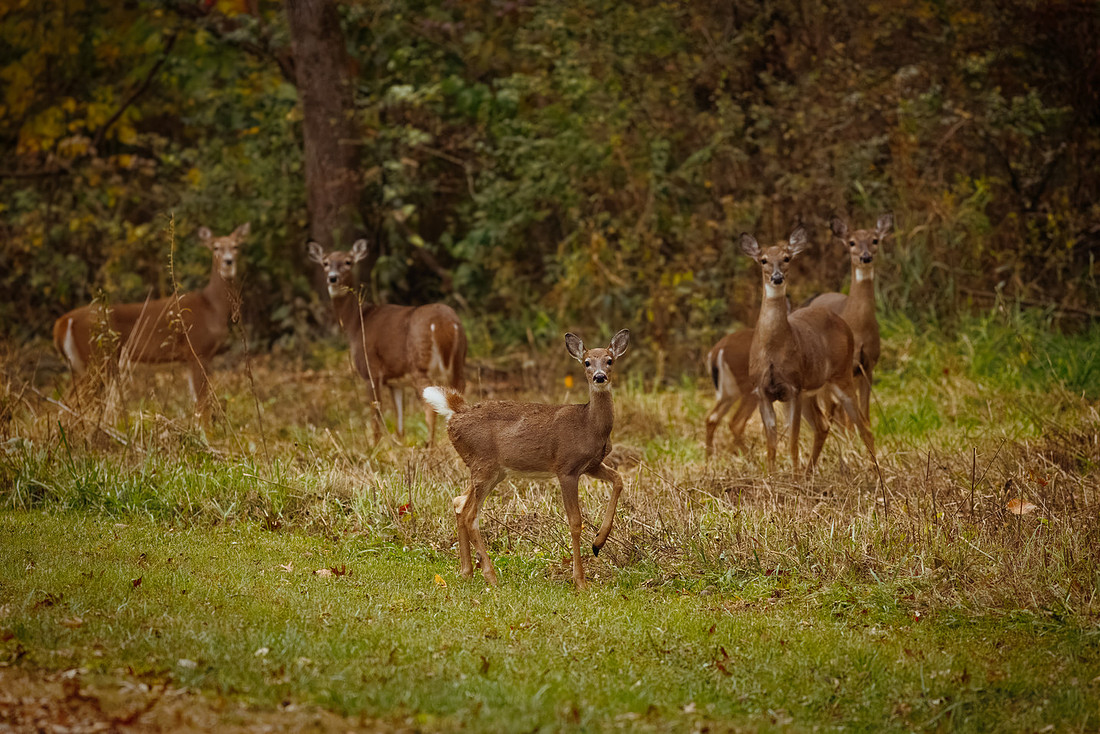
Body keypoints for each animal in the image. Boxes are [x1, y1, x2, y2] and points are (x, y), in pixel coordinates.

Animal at [52, 222, 249, 418]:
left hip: (82, 365)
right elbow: (203, 406)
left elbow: (197, 403)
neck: (212, 306)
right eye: (216, 247)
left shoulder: (189, 358)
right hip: (96, 358)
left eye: (236, 246)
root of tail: (63, 322)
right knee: (70, 402)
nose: (228, 262)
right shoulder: (197, 350)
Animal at [308, 239, 466, 446]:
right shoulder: (395, 382)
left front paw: (374, 447)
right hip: (459, 362)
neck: (357, 322)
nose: (332, 278)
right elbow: (400, 423)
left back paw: (429, 449)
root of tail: (444, 323)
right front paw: (400, 447)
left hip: (420, 366)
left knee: (430, 409)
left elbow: (376, 416)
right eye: (325, 262)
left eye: (348, 261)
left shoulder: (371, 371)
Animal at [422, 329, 630, 590]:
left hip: (491, 470)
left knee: (459, 502)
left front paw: (598, 542)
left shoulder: (591, 464)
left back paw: (467, 571)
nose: (600, 377)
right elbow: (575, 522)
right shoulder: (566, 467)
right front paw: (580, 581)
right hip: (484, 464)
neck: (589, 426)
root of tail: (454, 413)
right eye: (587, 362)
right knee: (471, 515)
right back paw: (490, 575)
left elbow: (619, 479)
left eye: (610, 360)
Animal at [741, 227, 876, 474]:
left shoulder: (793, 387)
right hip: (811, 393)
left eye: (787, 258)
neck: (772, 350)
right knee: (822, 426)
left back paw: (875, 470)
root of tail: (841, 322)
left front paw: (793, 478)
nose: (777, 277)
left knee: (863, 425)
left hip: (842, 376)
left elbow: (792, 441)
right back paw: (808, 472)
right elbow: (771, 444)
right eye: (763, 260)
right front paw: (772, 477)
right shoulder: (762, 391)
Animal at [802, 214, 892, 422]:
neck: (858, 327)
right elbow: (849, 414)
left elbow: (864, 413)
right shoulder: (847, 368)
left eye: (875, 240)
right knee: (830, 409)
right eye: (852, 242)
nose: (865, 257)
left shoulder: (868, 365)